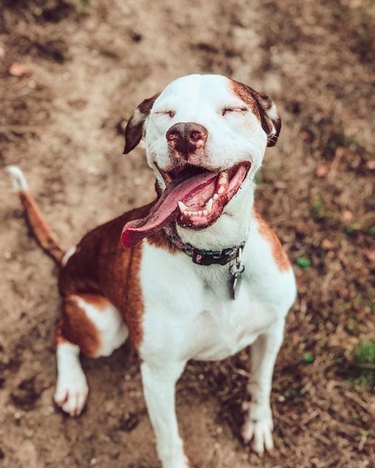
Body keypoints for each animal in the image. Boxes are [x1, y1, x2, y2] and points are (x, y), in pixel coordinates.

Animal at [7, 73, 298, 468]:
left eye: (231, 109)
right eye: (166, 113)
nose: (185, 133)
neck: (213, 255)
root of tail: (68, 257)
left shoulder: (272, 328)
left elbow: (261, 382)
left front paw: (258, 423)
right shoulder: (158, 374)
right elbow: (169, 440)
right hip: (104, 325)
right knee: (61, 331)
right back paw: (72, 386)